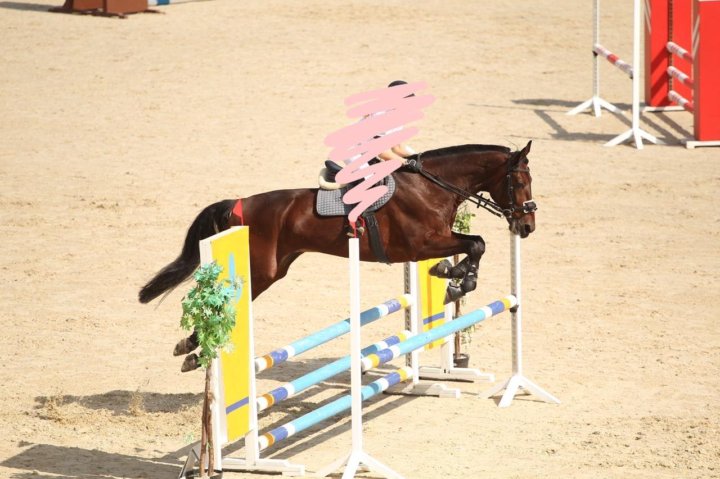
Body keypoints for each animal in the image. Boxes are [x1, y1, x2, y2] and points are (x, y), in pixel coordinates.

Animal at [139, 142, 536, 368]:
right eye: (518, 182)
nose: (527, 225)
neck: (430, 186)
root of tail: (238, 203)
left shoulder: (434, 241)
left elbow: (475, 244)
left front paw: (454, 278)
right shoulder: (421, 244)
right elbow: (476, 243)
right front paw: (458, 280)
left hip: (275, 269)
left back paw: (192, 349)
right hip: (260, 271)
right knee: (221, 298)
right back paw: (193, 347)